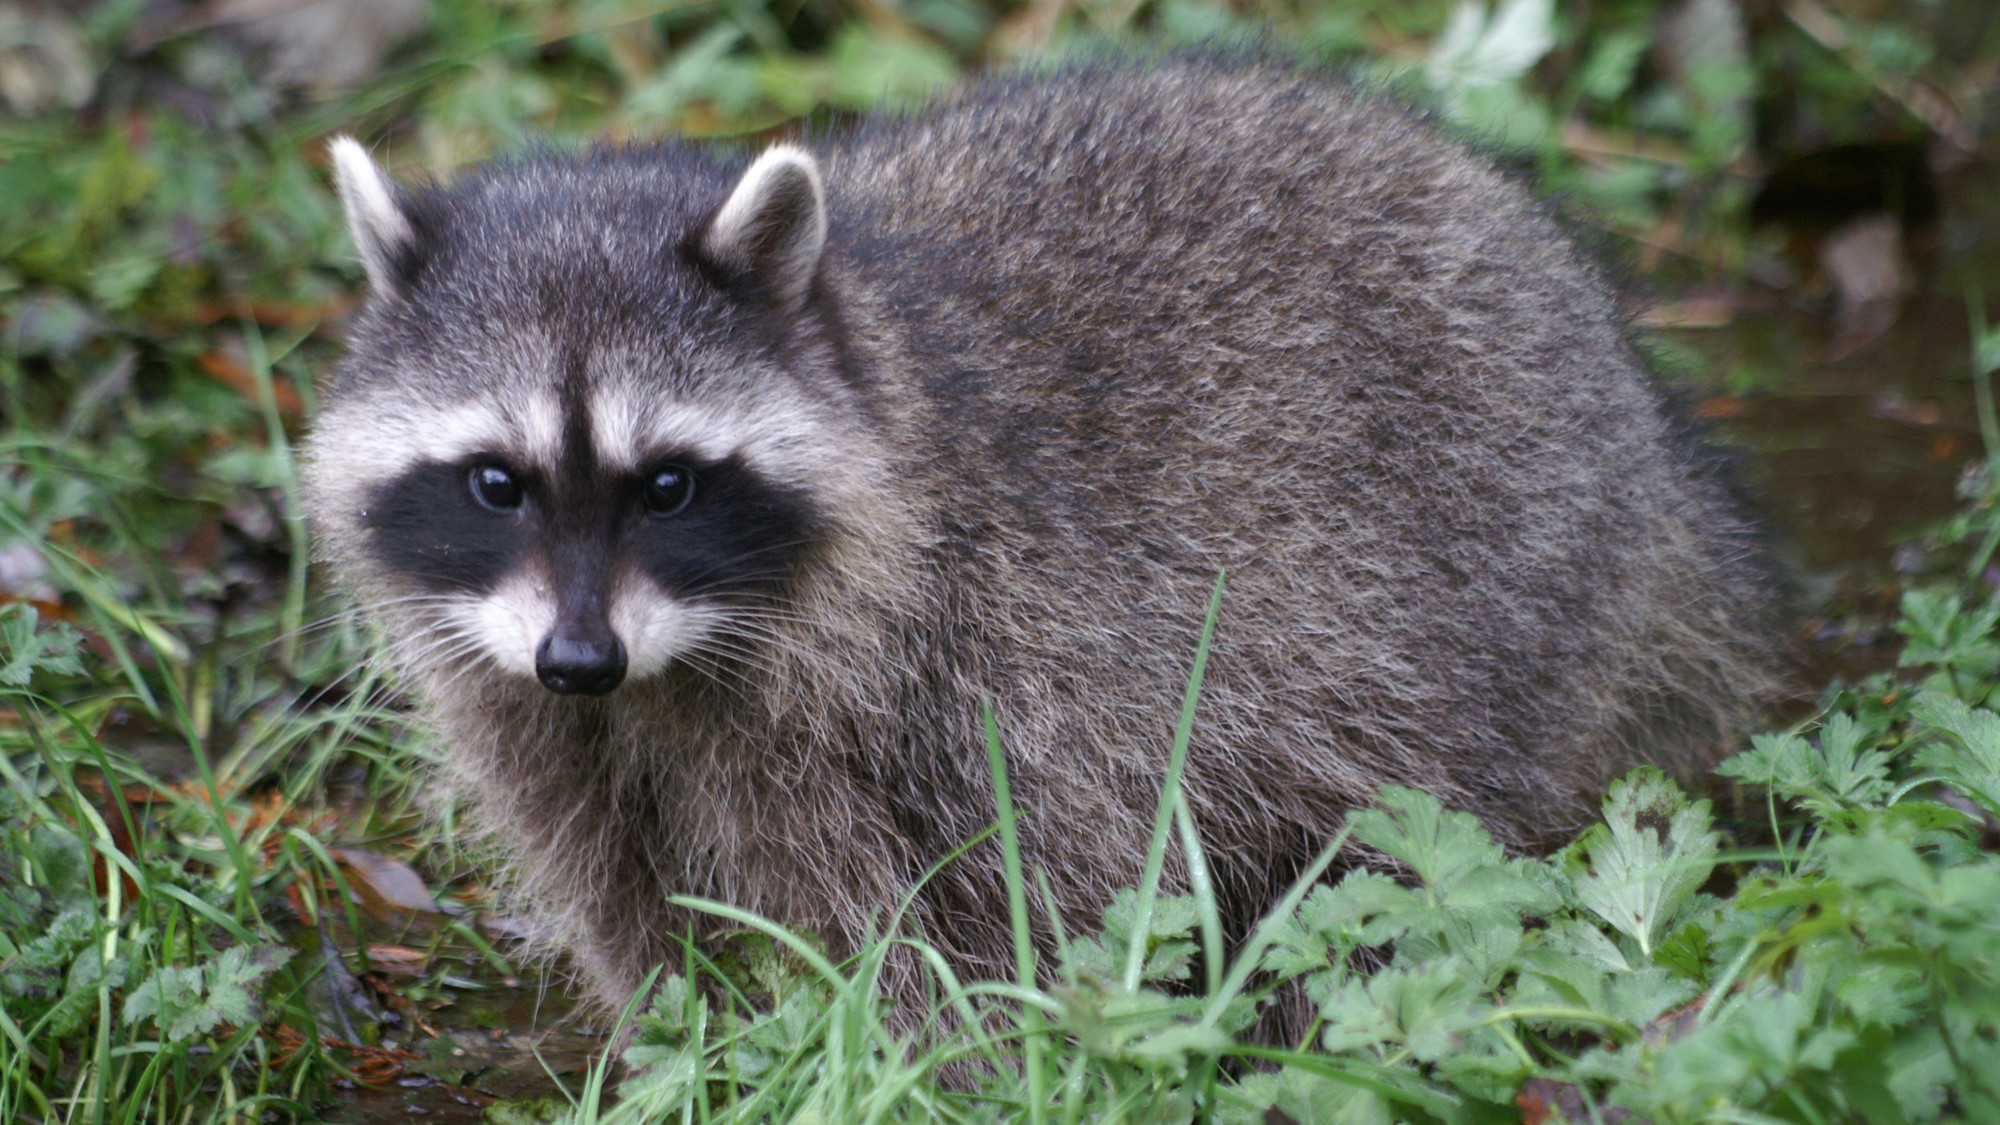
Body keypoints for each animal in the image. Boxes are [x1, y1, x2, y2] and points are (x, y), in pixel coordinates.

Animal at [308, 57, 1784, 1012]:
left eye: (666, 485)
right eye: (495, 483)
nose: (579, 660)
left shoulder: (998, 669)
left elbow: (973, 926)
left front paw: (893, 1056)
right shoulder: (522, 699)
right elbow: (618, 890)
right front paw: (677, 1036)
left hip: (1505, 572)